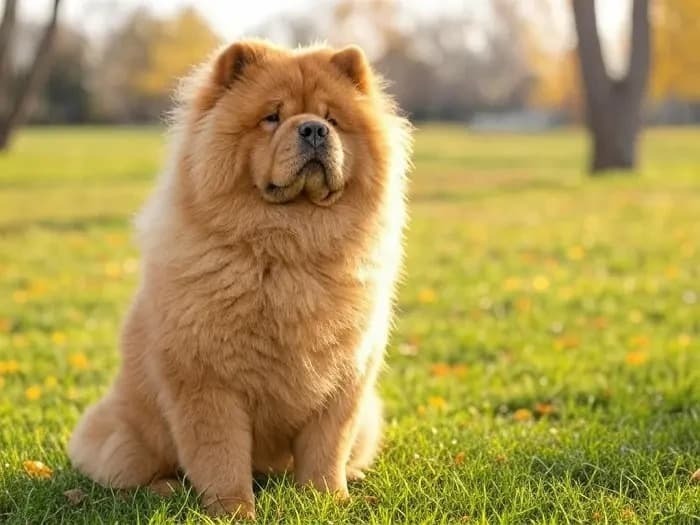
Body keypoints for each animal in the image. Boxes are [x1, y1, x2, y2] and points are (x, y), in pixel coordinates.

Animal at [67, 40, 410, 516]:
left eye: (333, 119)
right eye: (272, 117)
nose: (314, 130)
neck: (291, 247)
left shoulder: (346, 378)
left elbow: (327, 448)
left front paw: (327, 501)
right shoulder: (207, 381)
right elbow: (220, 455)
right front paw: (233, 511)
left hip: (370, 421)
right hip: (126, 431)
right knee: (127, 473)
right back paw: (165, 489)